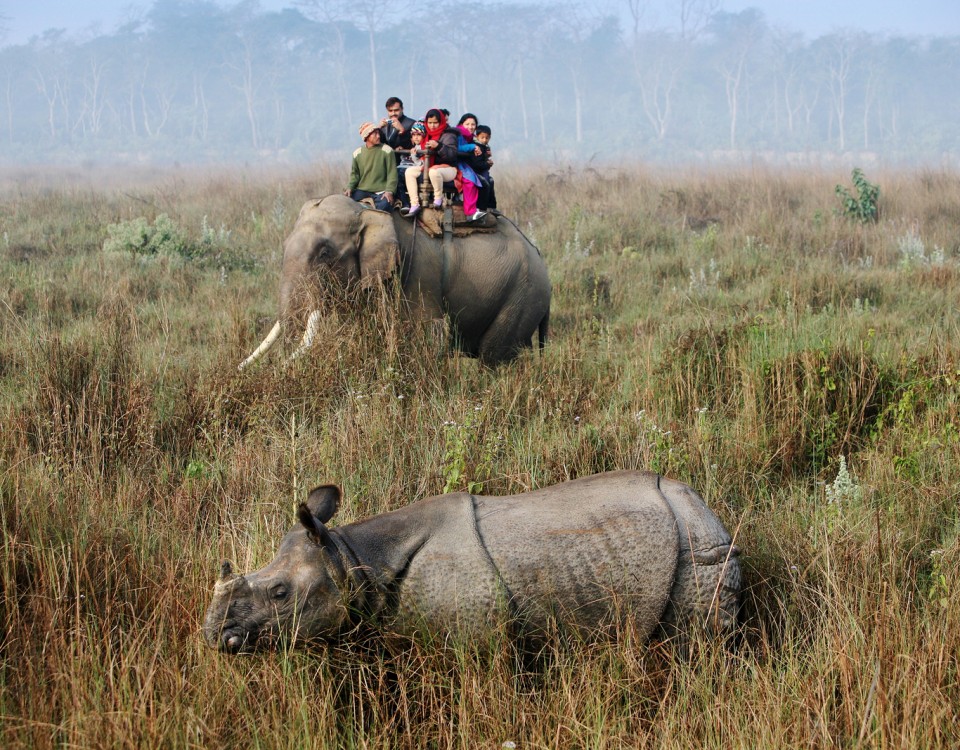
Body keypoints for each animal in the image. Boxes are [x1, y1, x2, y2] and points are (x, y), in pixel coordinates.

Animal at [240, 195, 552, 368]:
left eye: (325, 253)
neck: (369, 211)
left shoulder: (416, 271)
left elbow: (424, 335)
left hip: (522, 295)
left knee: (494, 357)